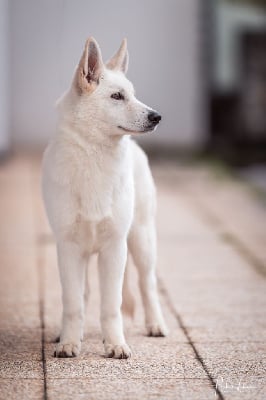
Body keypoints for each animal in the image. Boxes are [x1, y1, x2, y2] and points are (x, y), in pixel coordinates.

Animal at [41, 37, 167, 360]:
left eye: (132, 94)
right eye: (117, 96)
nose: (157, 117)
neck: (95, 159)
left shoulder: (114, 248)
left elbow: (112, 305)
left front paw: (115, 344)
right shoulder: (69, 248)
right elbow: (73, 303)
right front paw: (69, 342)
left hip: (141, 241)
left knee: (147, 285)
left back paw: (156, 324)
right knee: (83, 294)